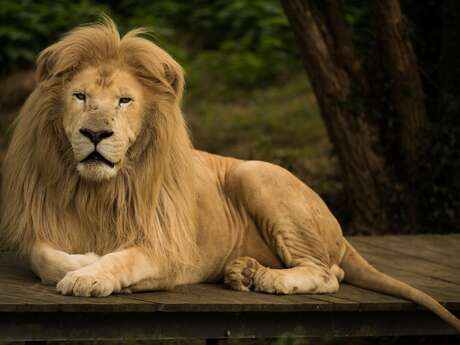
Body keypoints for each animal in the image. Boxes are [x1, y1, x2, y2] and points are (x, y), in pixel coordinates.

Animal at [0, 18, 460, 330]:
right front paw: (83, 261)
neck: (98, 190)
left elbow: (123, 257)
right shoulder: (40, 227)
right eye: (80, 97)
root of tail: (341, 233)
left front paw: (91, 274)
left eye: (125, 101)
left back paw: (268, 280)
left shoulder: (170, 251)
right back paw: (243, 273)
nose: (95, 133)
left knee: (329, 273)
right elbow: (45, 255)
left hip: (255, 174)